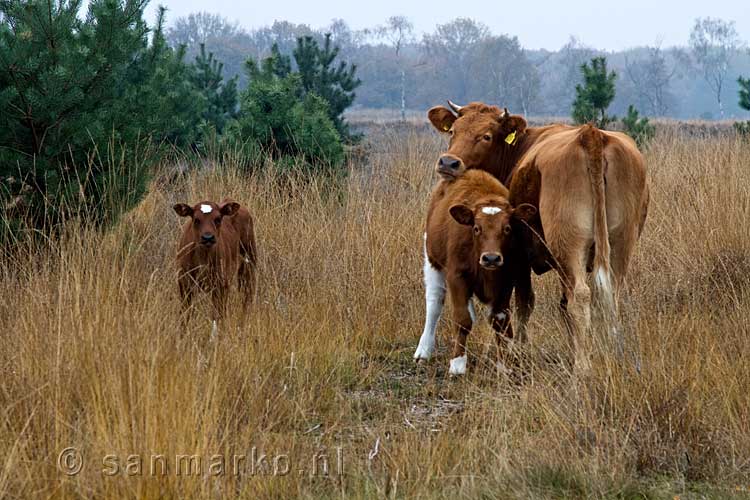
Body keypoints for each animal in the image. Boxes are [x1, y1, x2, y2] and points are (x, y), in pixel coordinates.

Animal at [174, 198, 258, 336]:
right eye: (196, 219)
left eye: (218, 219)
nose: (208, 237)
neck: (203, 258)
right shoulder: (184, 282)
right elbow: (185, 314)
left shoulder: (220, 284)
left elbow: (217, 317)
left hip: (248, 264)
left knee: (246, 298)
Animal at [414, 168, 536, 376]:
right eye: (477, 228)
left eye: (507, 228)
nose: (491, 258)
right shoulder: (456, 276)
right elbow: (462, 319)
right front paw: (457, 363)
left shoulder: (507, 279)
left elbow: (500, 320)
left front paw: (503, 364)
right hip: (432, 260)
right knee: (434, 302)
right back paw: (423, 350)